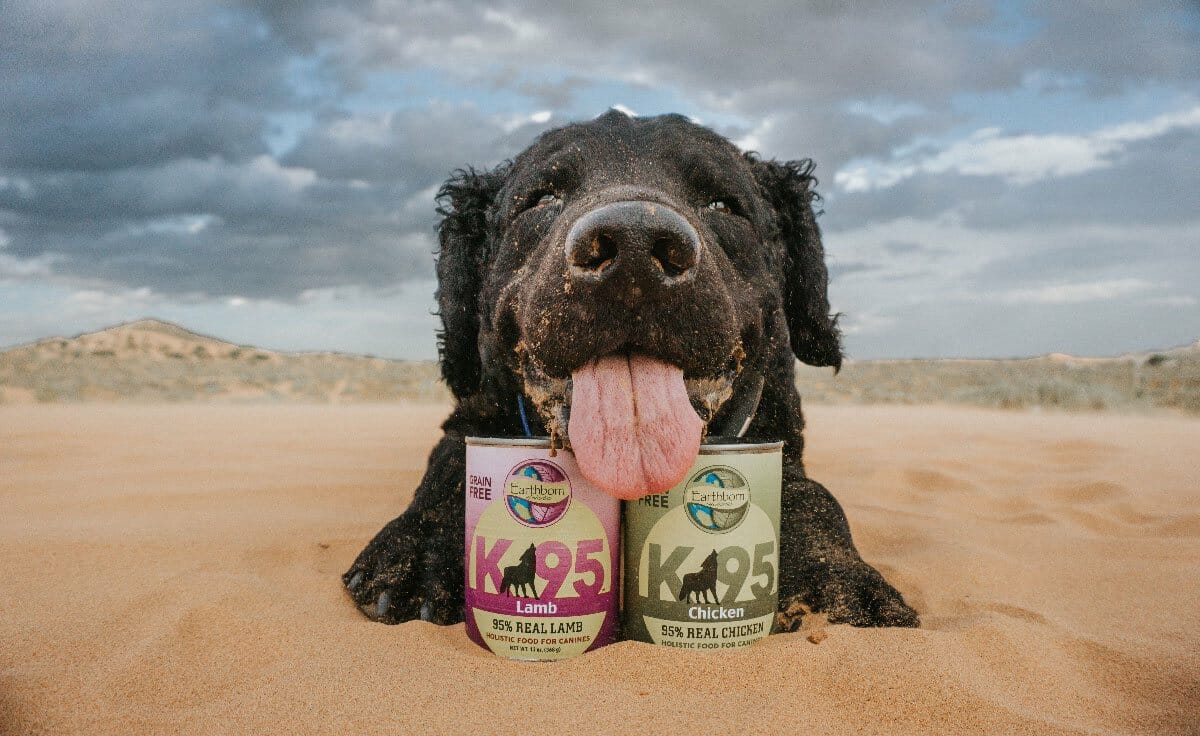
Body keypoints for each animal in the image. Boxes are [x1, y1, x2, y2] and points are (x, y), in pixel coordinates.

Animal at [345, 111, 916, 629]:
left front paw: (834, 580)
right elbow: (447, 468)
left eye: (723, 204)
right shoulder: (472, 415)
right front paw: (420, 553)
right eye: (541, 199)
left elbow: (813, 496)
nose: (635, 248)